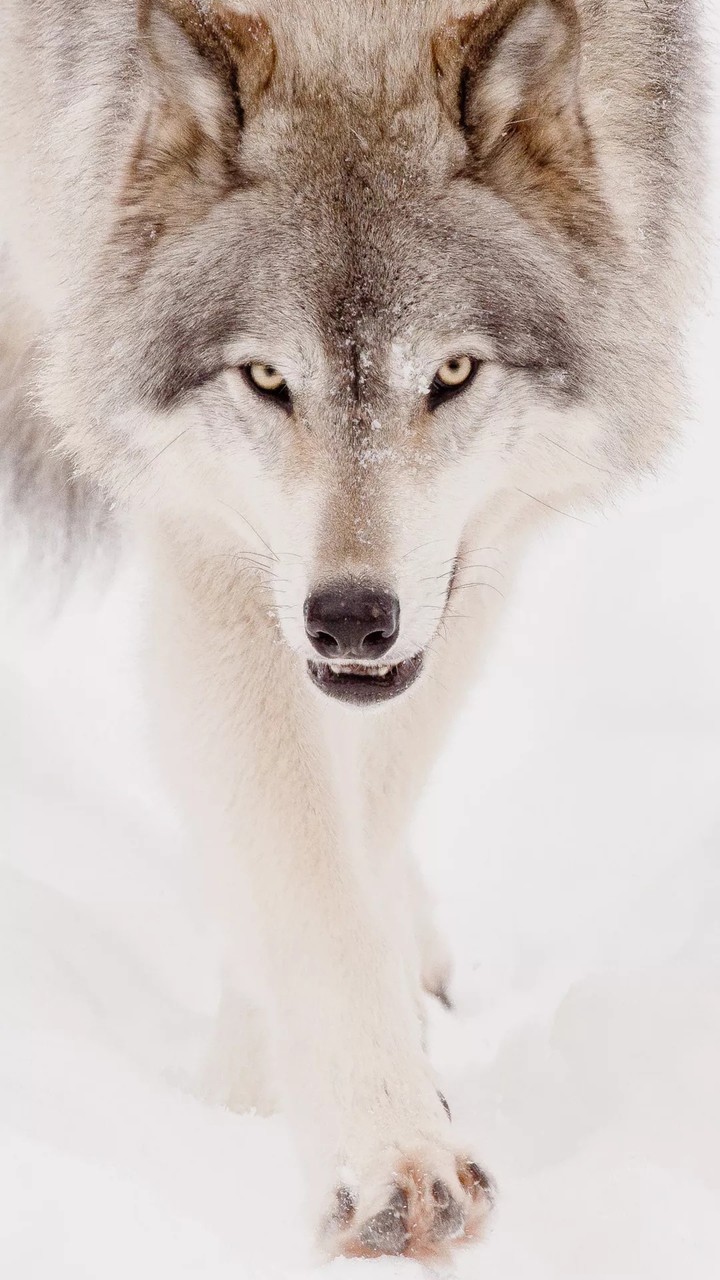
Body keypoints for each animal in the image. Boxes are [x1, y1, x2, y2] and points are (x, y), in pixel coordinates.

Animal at [0, 0, 703, 1263]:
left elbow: (355, 826)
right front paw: (381, 1154)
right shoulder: (222, 554)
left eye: (454, 372)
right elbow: (301, 864)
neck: (358, 22)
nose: (350, 615)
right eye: (268, 377)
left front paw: (269, 1078)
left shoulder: (474, 557)